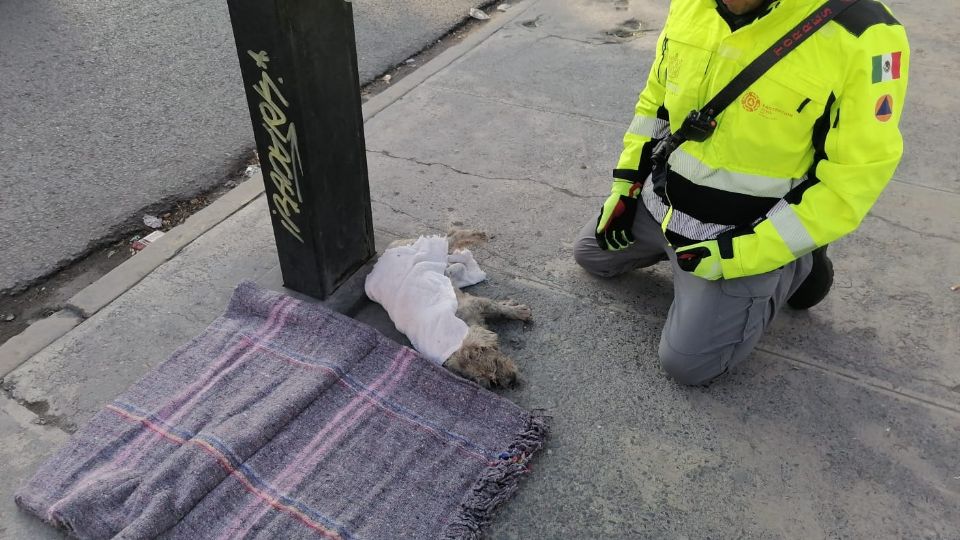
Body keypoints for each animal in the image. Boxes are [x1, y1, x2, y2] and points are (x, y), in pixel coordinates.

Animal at [388, 229, 532, 388]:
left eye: (495, 363)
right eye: (492, 381)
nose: (512, 381)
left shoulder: (475, 303)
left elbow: (498, 308)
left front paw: (518, 311)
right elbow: (498, 308)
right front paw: (511, 306)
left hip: (434, 250)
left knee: (453, 236)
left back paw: (477, 236)